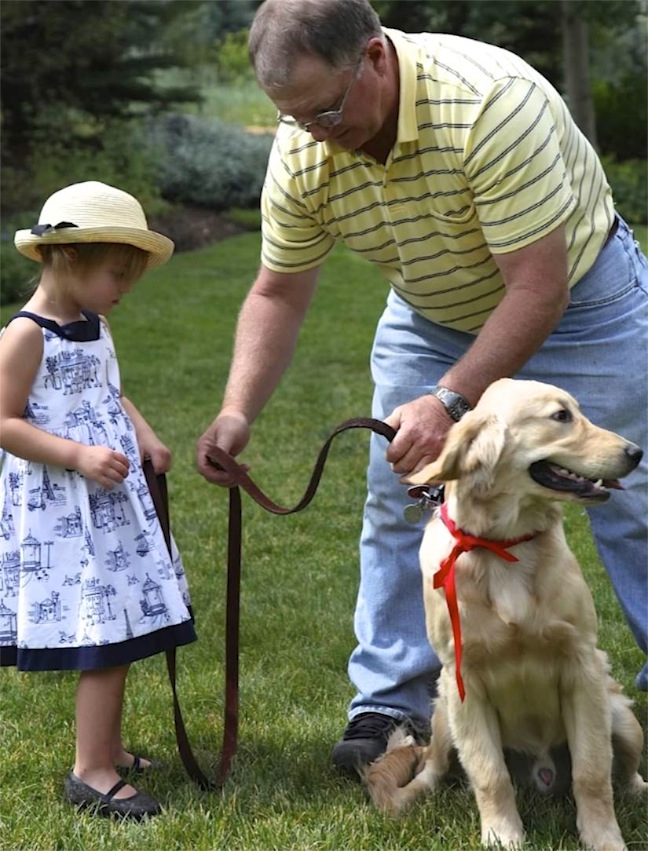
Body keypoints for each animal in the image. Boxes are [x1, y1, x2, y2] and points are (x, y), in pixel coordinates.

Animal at [368, 380, 644, 851]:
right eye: (561, 416)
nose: (636, 452)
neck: (503, 544)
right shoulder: (464, 682)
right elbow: (490, 774)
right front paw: (504, 837)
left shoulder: (582, 669)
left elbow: (591, 772)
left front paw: (604, 839)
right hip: (444, 715)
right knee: (430, 771)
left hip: (620, 715)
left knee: (626, 776)